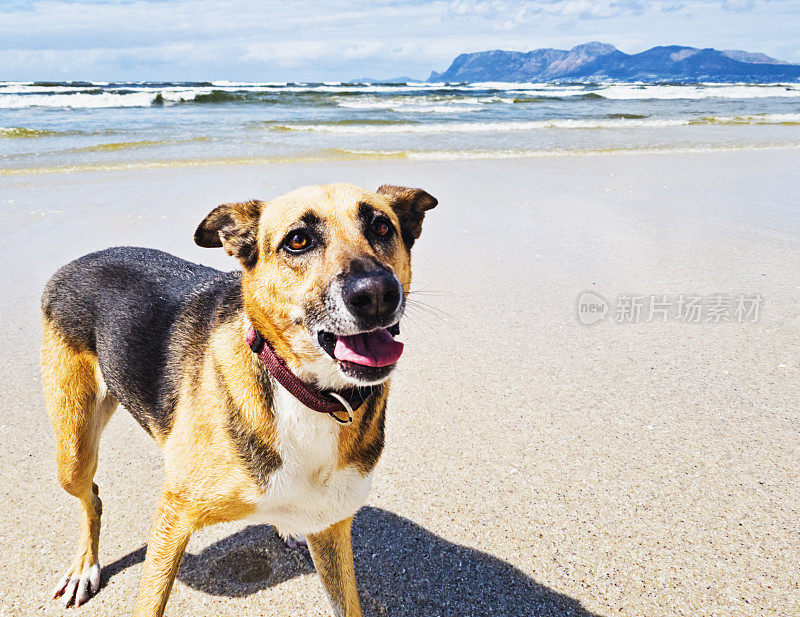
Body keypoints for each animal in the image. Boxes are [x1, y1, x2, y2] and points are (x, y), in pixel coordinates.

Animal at [39, 183, 438, 616]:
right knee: (91, 497)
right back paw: (85, 566)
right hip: (73, 453)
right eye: (298, 240)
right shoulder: (173, 517)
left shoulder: (330, 524)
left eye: (382, 227)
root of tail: (77, 262)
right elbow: (151, 600)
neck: (307, 392)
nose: (378, 293)